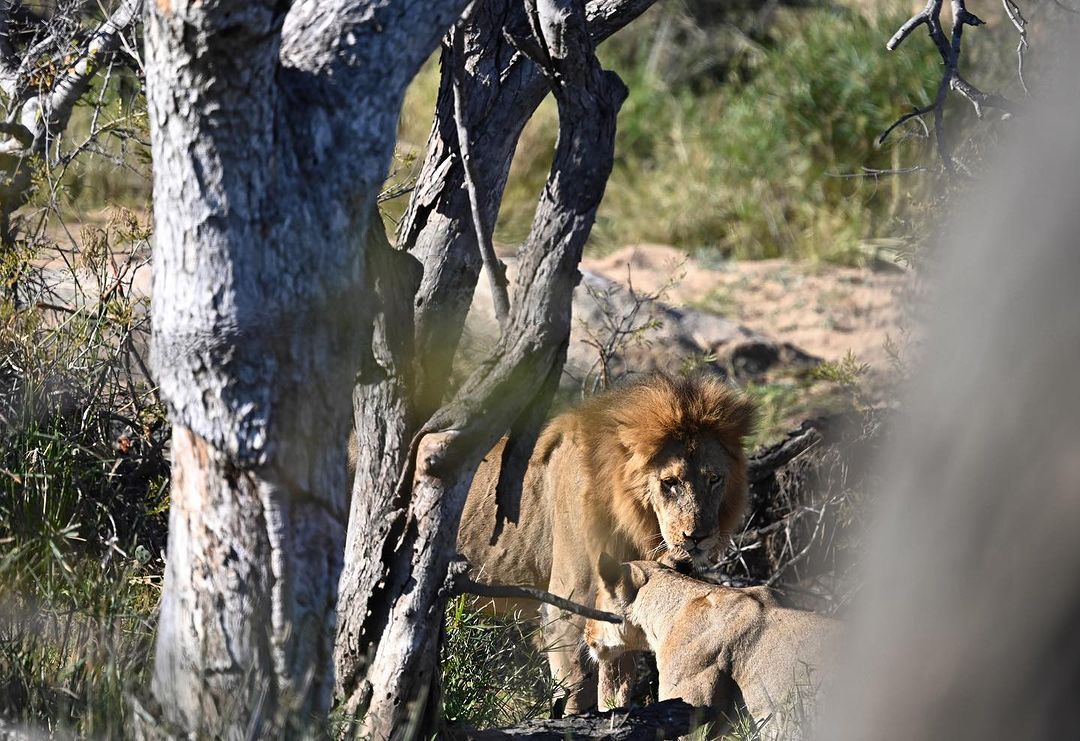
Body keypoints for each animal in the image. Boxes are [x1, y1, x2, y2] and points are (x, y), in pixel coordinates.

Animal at [455, 373, 751, 717]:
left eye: (714, 478)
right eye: (670, 482)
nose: (697, 537)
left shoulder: (622, 605)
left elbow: (616, 690)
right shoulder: (565, 613)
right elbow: (574, 693)